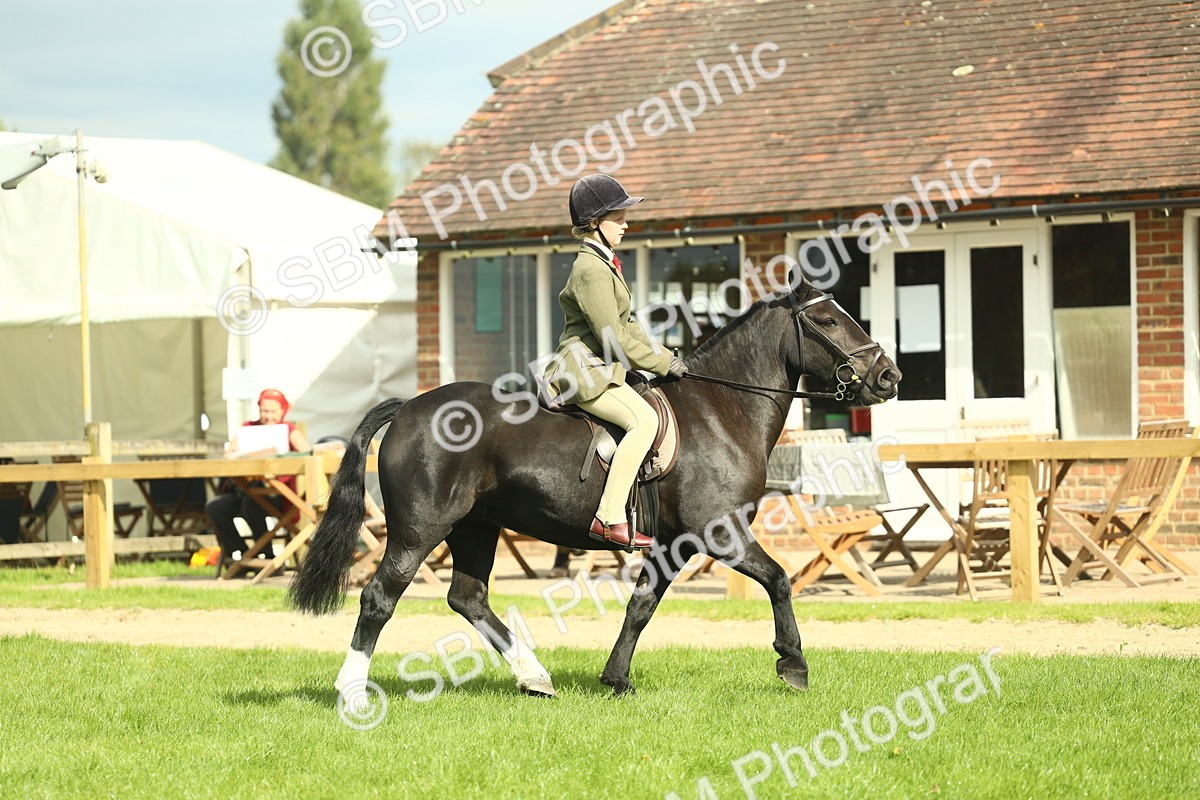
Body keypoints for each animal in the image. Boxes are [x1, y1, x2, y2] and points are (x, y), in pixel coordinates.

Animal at [289, 277, 900, 705]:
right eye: (828, 320)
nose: (889, 376)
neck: (722, 409)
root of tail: (410, 407)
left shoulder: (673, 544)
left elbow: (641, 606)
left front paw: (616, 679)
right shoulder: (719, 532)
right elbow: (777, 580)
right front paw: (793, 664)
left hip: (476, 527)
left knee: (468, 598)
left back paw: (535, 677)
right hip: (420, 529)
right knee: (379, 598)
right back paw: (352, 692)